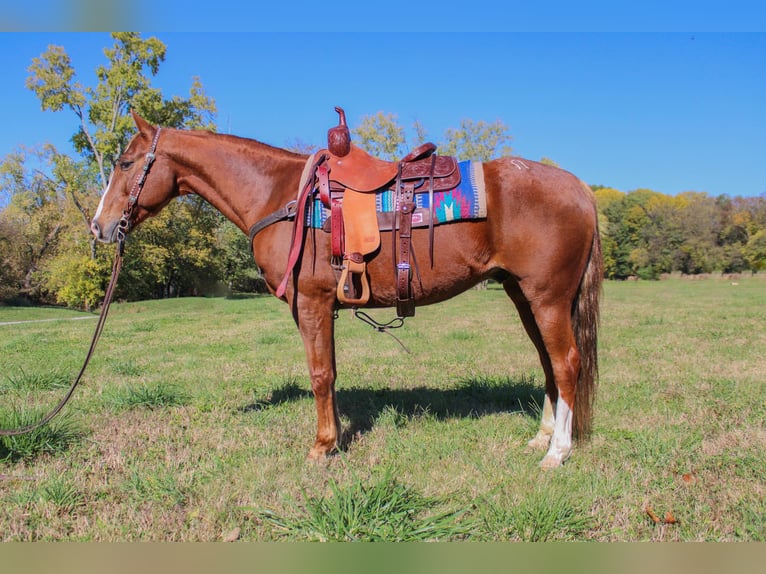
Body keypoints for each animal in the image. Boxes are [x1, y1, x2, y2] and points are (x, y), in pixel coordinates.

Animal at [91, 113, 608, 472]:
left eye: (125, 162)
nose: (98, 226)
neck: (281, 195)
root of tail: (580, 188)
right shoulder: (322, 307)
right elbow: (332, 372)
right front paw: (335, 438)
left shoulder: (312, 303)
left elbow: (320, 374)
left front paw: (322, 447)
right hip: (525, 298)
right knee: (548, 363)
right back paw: (542, 437)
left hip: (547, 298)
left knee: (566, 363)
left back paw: (556, 452)